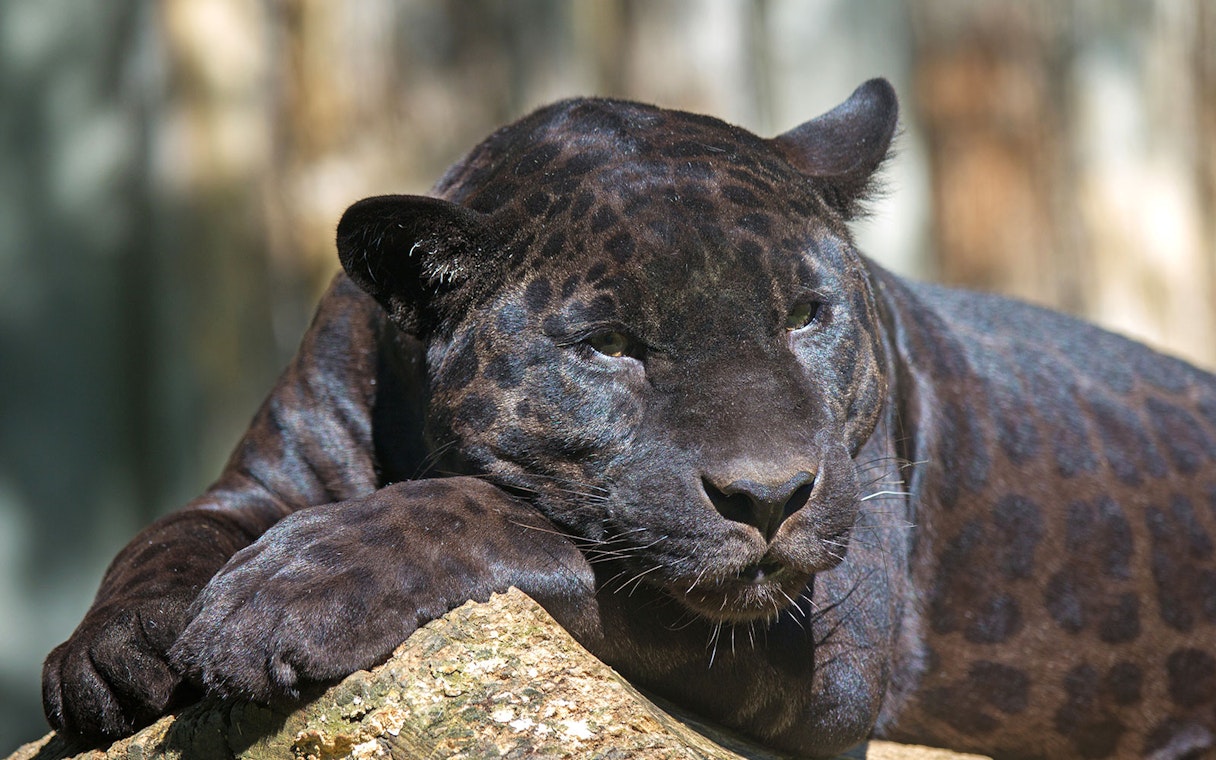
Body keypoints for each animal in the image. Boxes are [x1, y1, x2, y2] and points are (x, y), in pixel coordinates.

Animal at [42, 79, 1216, 759]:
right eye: (611, 345)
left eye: (805, 315)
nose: (770, 495)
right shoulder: (274, 475)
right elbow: (163, 534)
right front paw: (112, 656)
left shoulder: (832, 629)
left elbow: (509, 517)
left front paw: (288, 595)